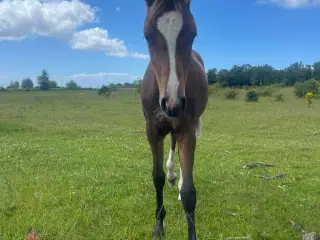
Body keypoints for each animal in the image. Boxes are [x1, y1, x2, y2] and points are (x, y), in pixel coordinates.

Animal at [141, 0, 209, 239]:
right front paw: (159, 226)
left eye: (193, 33)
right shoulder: (153, 130)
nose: (173, 103)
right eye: (148, 35)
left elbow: (189, 193)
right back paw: (172, 175)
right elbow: (157, 177)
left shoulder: (186, 131)